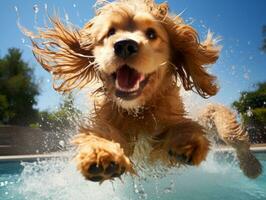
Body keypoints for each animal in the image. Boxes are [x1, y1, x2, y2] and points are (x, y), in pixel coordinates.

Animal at [27, 0, 262, 181]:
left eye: (151, 34)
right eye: (110, 32)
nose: (125, 45)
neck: (138, 111)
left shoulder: (164, 143)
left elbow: (184, 129)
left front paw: (187, 141)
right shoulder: (109, 122)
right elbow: (99, 134)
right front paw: (101, 154)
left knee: (230, 130)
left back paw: (251, 166)